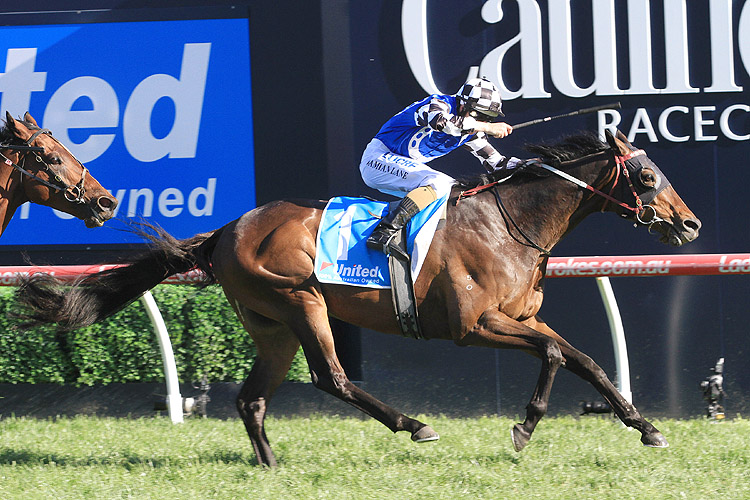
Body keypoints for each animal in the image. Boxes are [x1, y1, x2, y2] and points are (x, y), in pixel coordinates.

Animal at [14, 129, 704, 464]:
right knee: (333, 377)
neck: (510, 223)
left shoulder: (518, 318)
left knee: (252, 398)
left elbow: (583, 359)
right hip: (301, 303)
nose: (691, 224)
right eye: (647, 175)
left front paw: (646, 428)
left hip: (270, 326)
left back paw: (271, 466)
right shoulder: (474, 324)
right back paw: (414, 424)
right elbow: (559, 357)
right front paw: (525, 427)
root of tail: (227, 229)